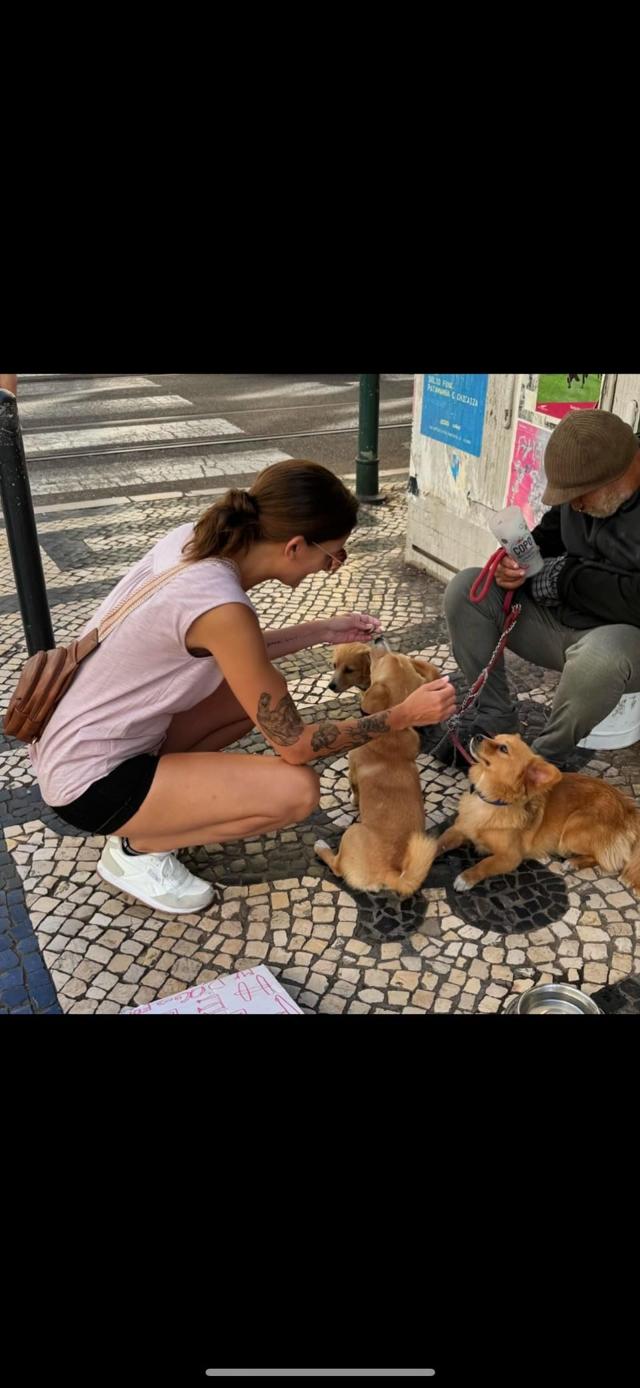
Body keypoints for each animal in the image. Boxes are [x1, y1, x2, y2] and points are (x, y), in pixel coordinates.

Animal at [313, 649, 438, 899]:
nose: (376, 645)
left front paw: (353, 801)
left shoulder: (352, 769)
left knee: (337, 866)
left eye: (382, 660)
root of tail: (391, 872)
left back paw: (321, 847)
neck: (393, 728)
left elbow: (354, 790)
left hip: (351, 833)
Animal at [435, 732, 638, 893]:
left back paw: (573, 863)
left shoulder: (510, 857)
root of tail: (627, 808)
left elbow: (485, 864)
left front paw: (466, 877)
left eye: (503, 748)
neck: (491, 801)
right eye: (495, 737)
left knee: (603, 859)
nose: (477, 735)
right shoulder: (458, 830)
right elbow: (439, 843)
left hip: (572, 831)